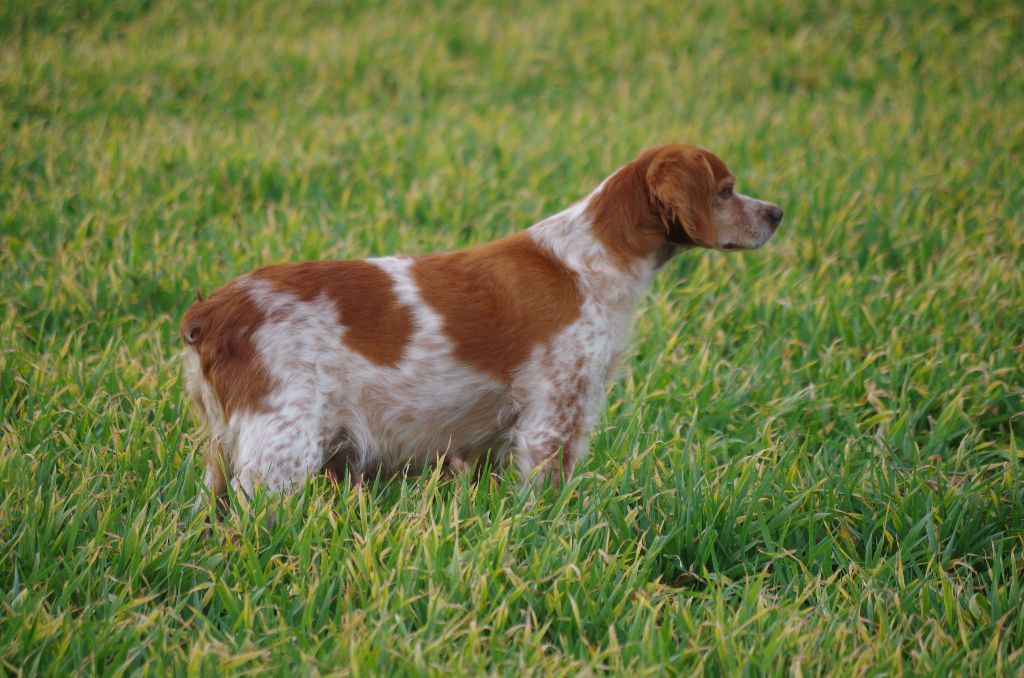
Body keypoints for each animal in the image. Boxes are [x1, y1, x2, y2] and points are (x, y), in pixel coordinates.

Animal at [180, 142, 778, 499]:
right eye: (726, 191)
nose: (777, 212)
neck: (589, 259)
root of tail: (211, 311)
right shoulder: (555, 411)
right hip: (283, 440)